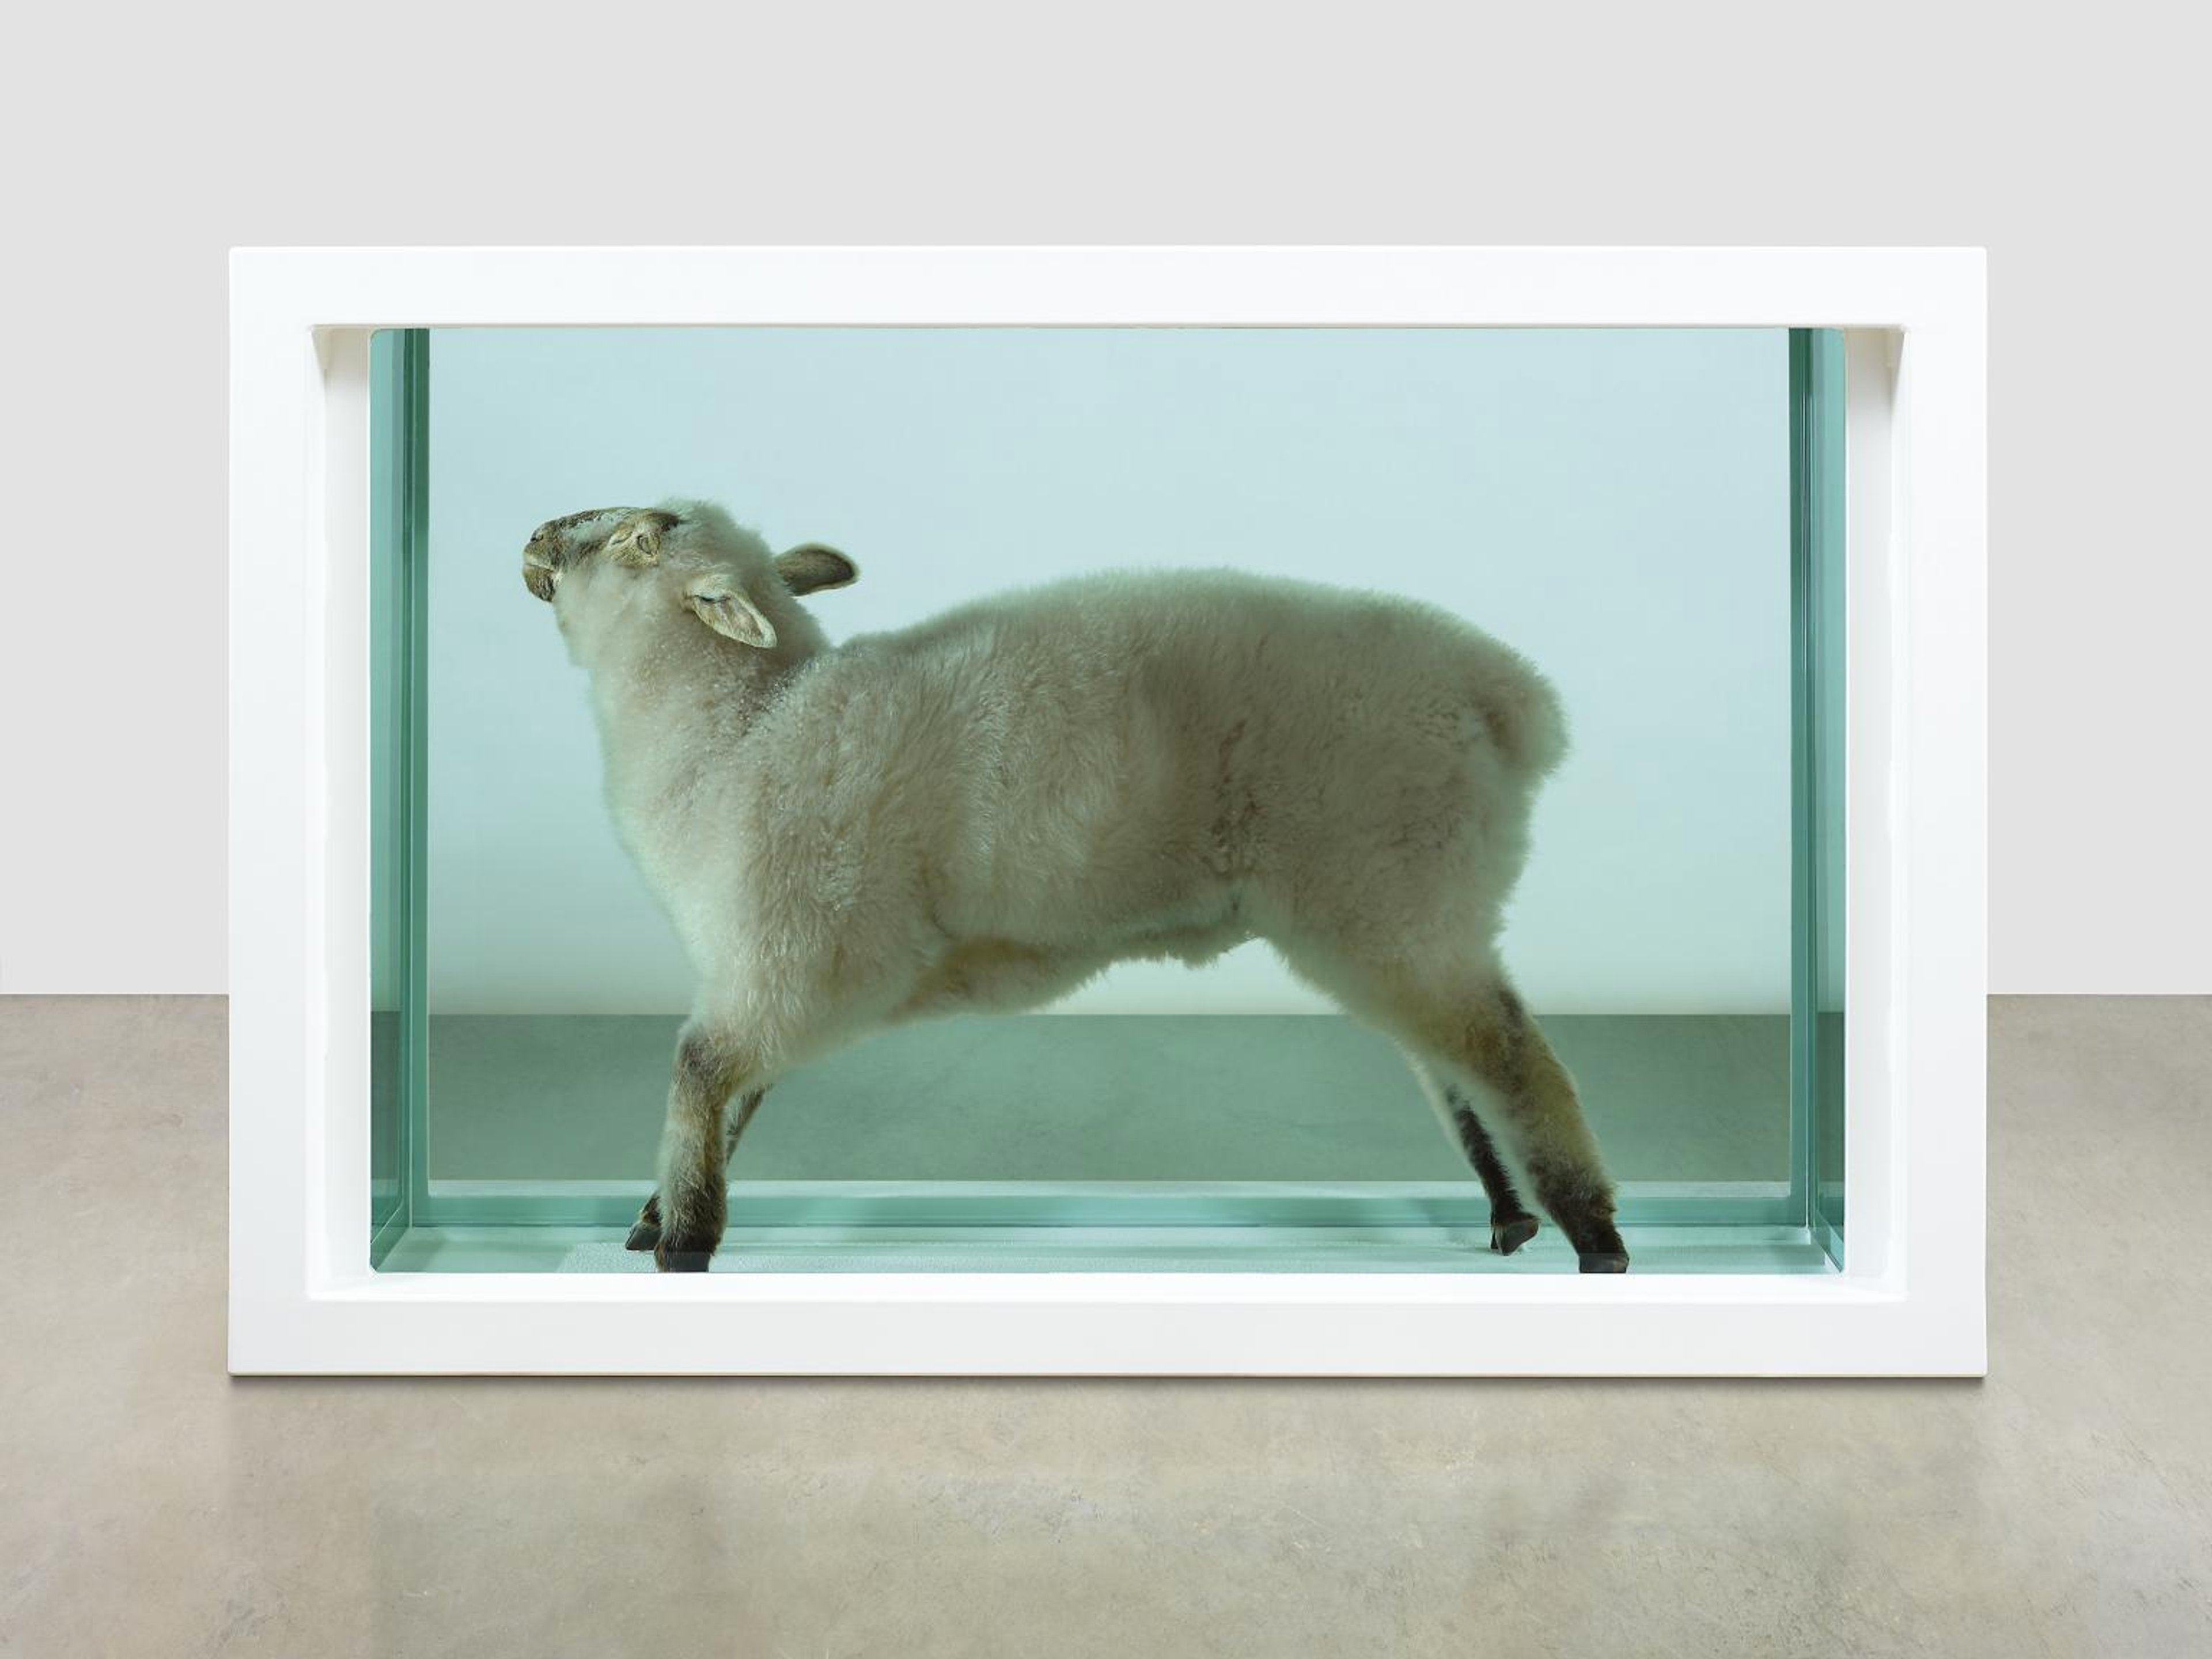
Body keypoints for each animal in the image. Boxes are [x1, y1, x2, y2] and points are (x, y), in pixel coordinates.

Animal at [522, 500, 1628, 1274]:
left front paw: (685, 1237)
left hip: (1391, 889)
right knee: (1457, 1066)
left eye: (637, 539)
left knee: (1514, 1058)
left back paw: (1596, 1235)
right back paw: (1512, 1214)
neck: (746, 725)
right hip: (1405, 906)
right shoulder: (764, 967)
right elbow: (739, 1098)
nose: (536, 539)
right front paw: (655, 1216)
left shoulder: (797, 957)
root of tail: (1506, 698)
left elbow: (702, 1070)